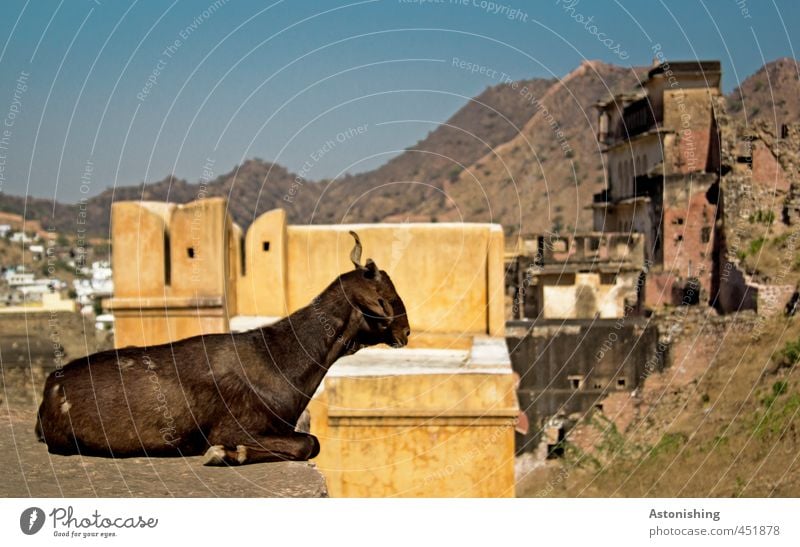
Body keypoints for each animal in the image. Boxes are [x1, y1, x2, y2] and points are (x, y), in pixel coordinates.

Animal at [34, 231, 410, 466]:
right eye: (386, 297)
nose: (405, 331)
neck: (277, 356)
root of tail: (51, 387)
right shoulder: (233, 426)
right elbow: (309, 443)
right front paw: (225, 454)